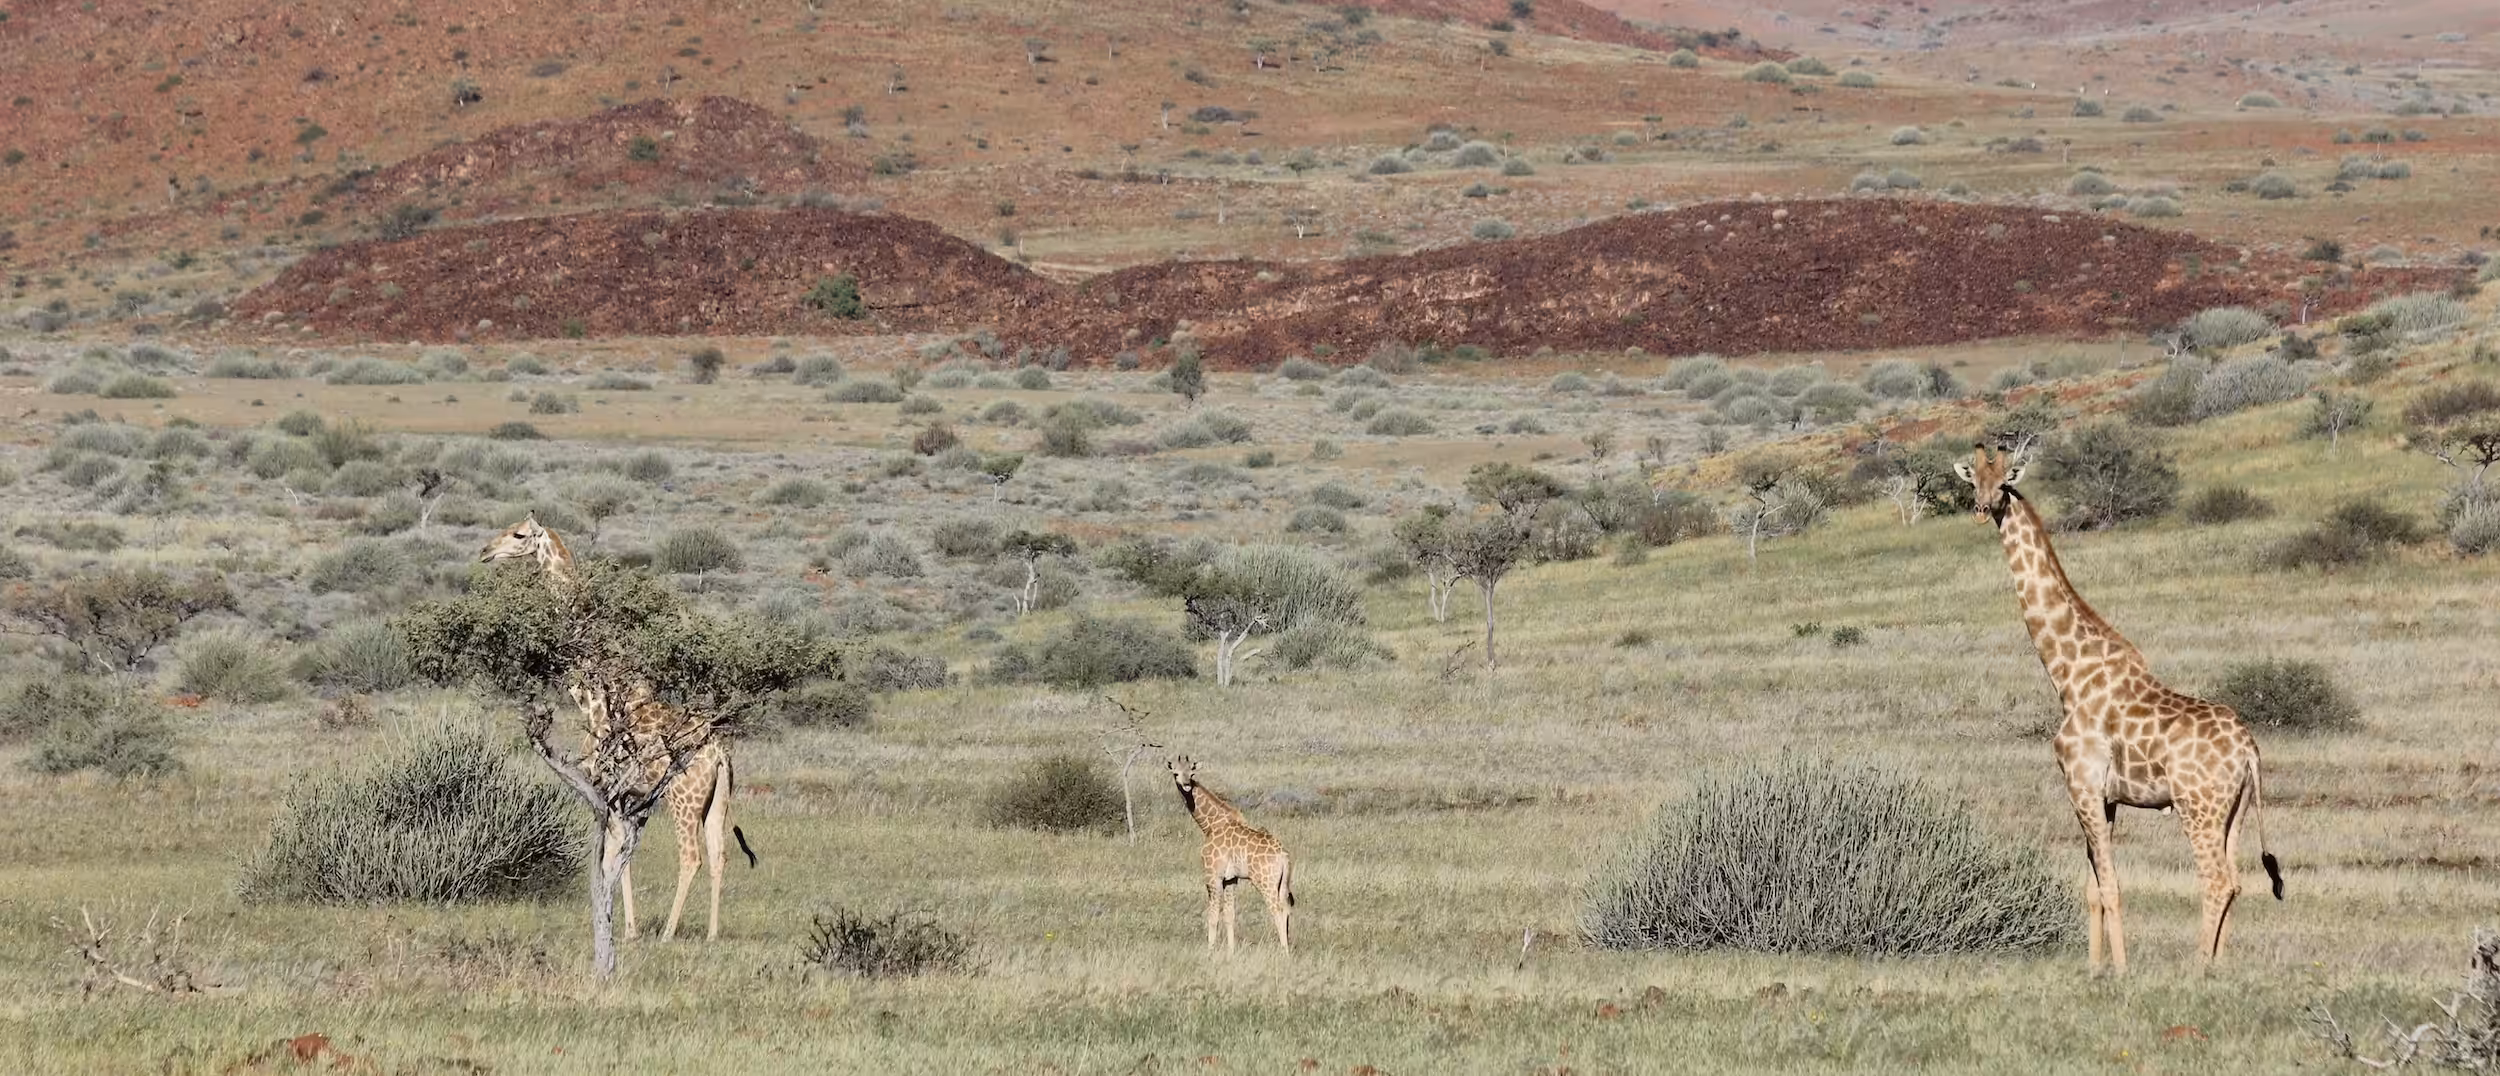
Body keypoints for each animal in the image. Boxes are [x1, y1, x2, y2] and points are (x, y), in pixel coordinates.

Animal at [476, 515, 754, 942]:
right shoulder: (623, 798)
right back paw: (710, 934)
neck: (592, 698)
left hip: (683, 799)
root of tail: (720, 754)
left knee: (691, 857)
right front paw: (627, 927)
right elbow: (620, 855)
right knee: (719, 854)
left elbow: (609, 856)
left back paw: (668, 933)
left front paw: (623, 928)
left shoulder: (602, 787)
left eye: (518, 535)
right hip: (716, 802)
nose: (486, 551)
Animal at [1167, 755, 1294, 954]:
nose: (1187, 785)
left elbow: (1212, 915)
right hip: (1282, 883)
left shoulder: (1212, 875)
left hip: (1265, 882)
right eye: (1176, 773)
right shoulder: (1230, 879)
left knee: (1278, 911)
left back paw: (1284, 952)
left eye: (1192, 773)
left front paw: (1210, 951)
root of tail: (1284, 856)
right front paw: (1231, 951)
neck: (1210, 825)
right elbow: (1229, 915)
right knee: (1287, 909)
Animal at [1954, 444, 2282, 973]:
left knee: (2216, 880)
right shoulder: (2104, 798)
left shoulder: (2082, 785)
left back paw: (2196, 968)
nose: (1984, 509)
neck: (2067, 674)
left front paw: (2122, 971)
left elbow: (2110, 887)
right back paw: (2217, 966)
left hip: (2197, 806)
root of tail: (2249, 750)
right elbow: (2091, 889)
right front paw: (2094, 969)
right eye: (1973, 481)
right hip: (2233, 810)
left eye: (2005, 482)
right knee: (2236, 880)